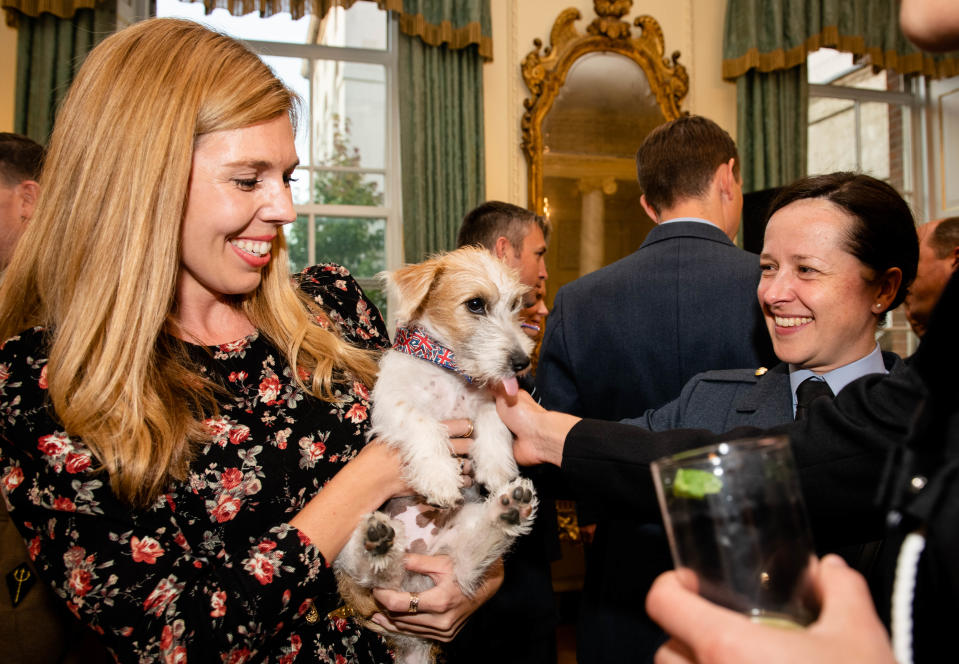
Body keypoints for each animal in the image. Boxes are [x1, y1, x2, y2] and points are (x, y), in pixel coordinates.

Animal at [334, 246, 536, 660]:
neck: (450, 372)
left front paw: (496, 466)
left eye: (515, 305)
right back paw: (377, 541)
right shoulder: (392, 404)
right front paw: (440, 479)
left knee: (473, 555)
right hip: (351, 562)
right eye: (475, 304)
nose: (522, 362)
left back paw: (510, 508)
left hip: (457, 550)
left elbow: (493, 415)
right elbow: (424, 423)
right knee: (372, 572)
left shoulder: (487, 400)